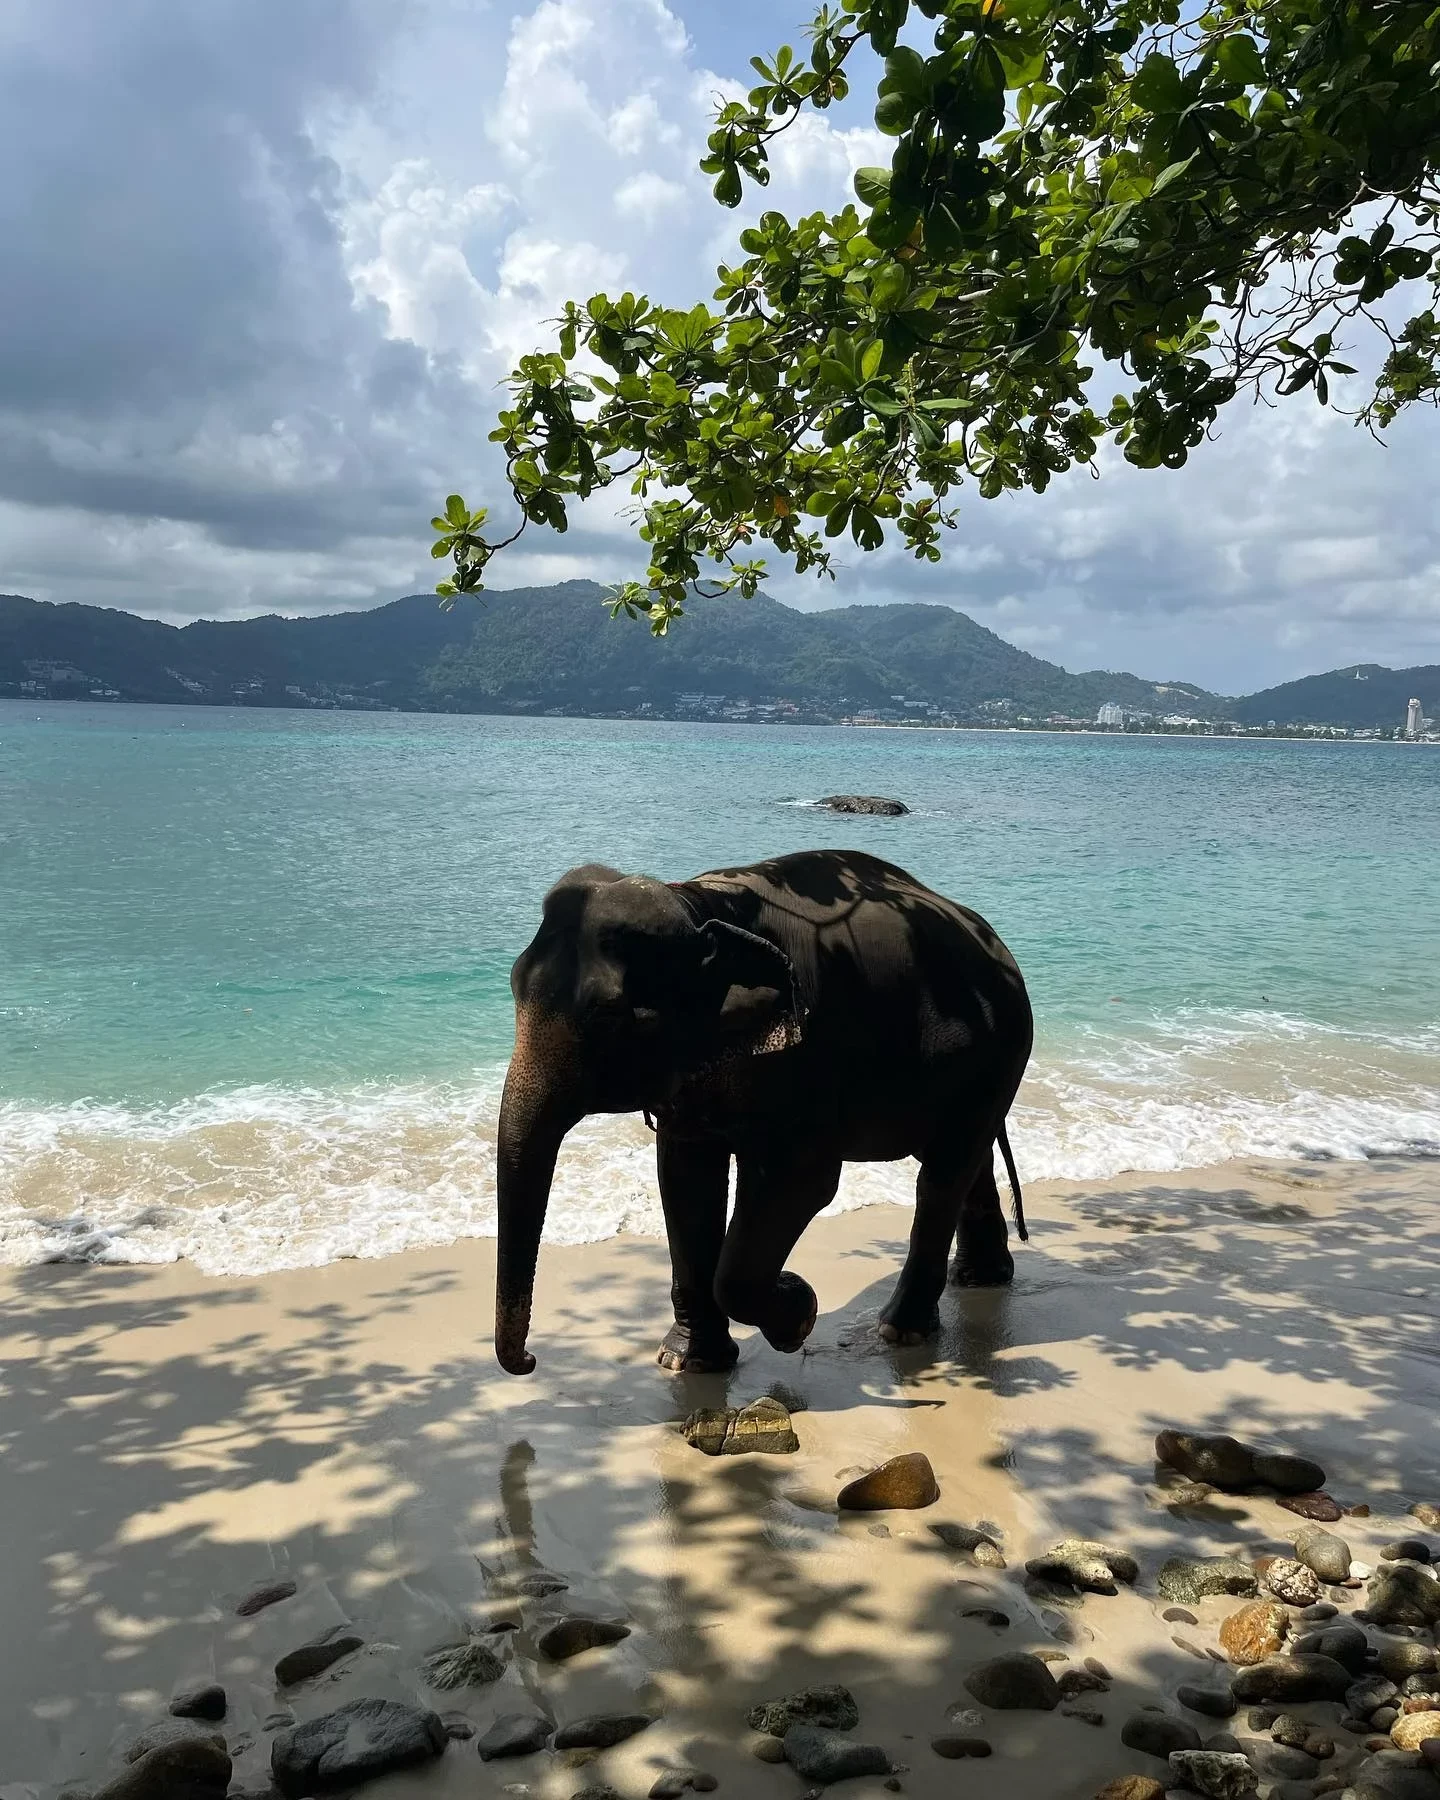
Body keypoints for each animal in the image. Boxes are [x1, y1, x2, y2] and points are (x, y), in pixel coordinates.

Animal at [496, 849, 1036, 1368]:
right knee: (964, 1160)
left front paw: (799, 1312)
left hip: (1001, 1050)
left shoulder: (811, 1056)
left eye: (608, 1017)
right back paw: (980, 1279)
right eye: (513, 987)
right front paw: (688, 1362)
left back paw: (900, 1329)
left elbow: (801, 1183)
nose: (530, 1359)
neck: (698, 906)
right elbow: (685, 1180)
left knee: (943, 1174)